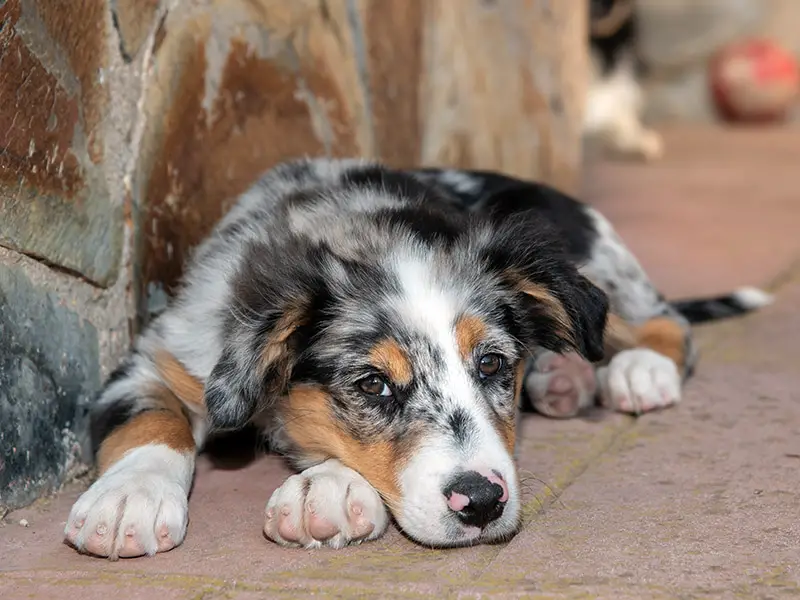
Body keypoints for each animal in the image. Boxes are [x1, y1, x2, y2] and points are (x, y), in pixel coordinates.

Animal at [65, 158, 772, 556]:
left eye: (492, 365)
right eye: (373, 385)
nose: (481, 503)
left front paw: (326, 488)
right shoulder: (161, 359)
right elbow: (151, 422)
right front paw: (127, 499)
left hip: (588, 259)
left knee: (663, 319)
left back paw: (636, 370)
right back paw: (563, 379)